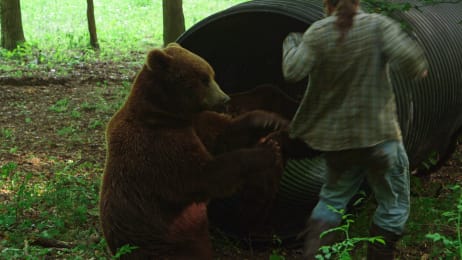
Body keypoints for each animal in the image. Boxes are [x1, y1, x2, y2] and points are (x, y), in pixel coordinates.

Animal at [100, 43, 286, 258]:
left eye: (212, 74)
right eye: (203, 79)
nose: (224, 98)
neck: (165, 113)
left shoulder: (195, 123)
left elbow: (224, 135)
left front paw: (268, 121)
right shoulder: (158, 143)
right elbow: (203, 175)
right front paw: (269, 150)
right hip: (165, 242)